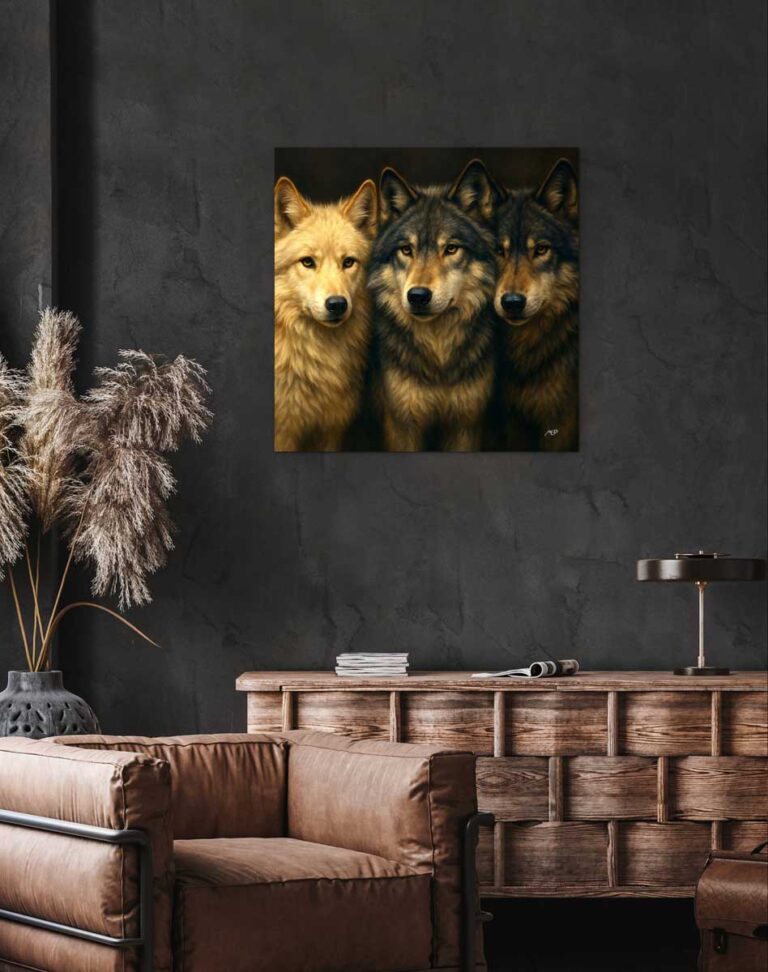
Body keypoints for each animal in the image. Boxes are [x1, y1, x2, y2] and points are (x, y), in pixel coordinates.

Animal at [367, 161, 499, 451]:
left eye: (451, 249)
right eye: (406, 250)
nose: (418, 295)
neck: (439, 358)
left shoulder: (466, 424)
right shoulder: (402, 425)